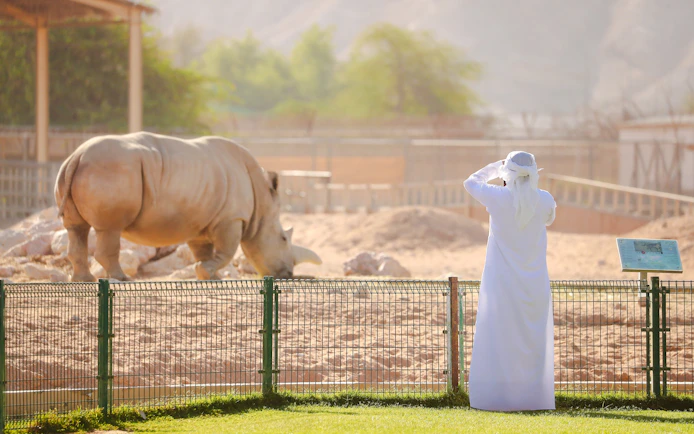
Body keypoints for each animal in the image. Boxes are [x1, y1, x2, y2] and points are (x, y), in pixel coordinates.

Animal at [54, 131, 322, 282]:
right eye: (283, 239)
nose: (288, 275)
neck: (262, 207)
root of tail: (76, 156)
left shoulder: (202, 219)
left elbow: (204, 250)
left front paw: (212, 277)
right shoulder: (232, 218)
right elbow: (226, 251)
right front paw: (207, 272)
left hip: (74, 169)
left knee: (76, 228)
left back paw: (83, 280)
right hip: (110, 169)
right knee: (109, 228)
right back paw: (121, 279)